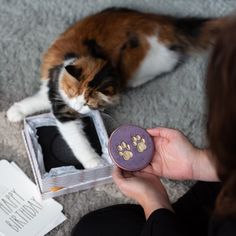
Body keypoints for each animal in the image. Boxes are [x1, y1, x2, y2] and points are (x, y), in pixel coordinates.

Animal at [6, 7, 225, 169]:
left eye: (88, 102)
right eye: (74, 93)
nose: (78, 107)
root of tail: (160, 22)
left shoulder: (64, 110)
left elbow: (78, 142)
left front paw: (94, 162)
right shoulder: (56, 93)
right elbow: (36, 101)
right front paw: (15, 112)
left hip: (154, 61)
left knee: (171, 60)